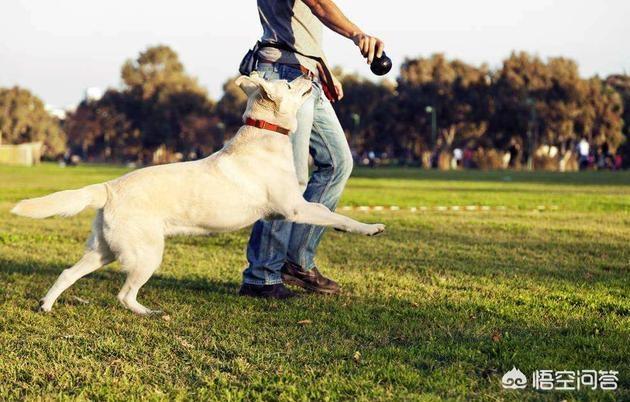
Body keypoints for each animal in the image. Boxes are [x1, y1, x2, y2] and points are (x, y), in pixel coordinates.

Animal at [12, 74, 386, 316]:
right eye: (290, 83)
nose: (309, 74)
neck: (264, 136)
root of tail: (108, 188)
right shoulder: (295, 208)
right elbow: (335, 215)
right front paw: (370, 228)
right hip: (147, 254)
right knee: (124, 294)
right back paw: (148, 312)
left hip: (103, 251)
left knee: (67, 273)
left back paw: (46, 305)